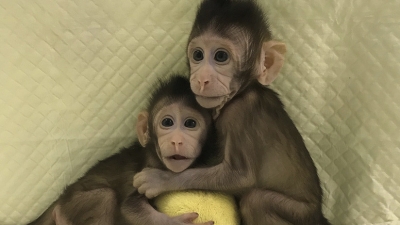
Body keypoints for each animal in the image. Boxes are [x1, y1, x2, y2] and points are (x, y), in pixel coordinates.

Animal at [27, 75, 216, 225]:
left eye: (190, 123)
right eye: (167, 122)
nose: (177, 140)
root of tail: (59, 200)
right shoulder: (146, 168)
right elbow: (129, 207)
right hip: (73, 205)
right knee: (106, 197)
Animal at [134, 0, 332, 225]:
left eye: (221, 56)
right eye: (198, 55)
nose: (201, 79)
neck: (242, 92)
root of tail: (318, 215)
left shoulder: (239, 114)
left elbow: (241, 176)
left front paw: (160, 179)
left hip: (300, 214)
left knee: (256, 200)